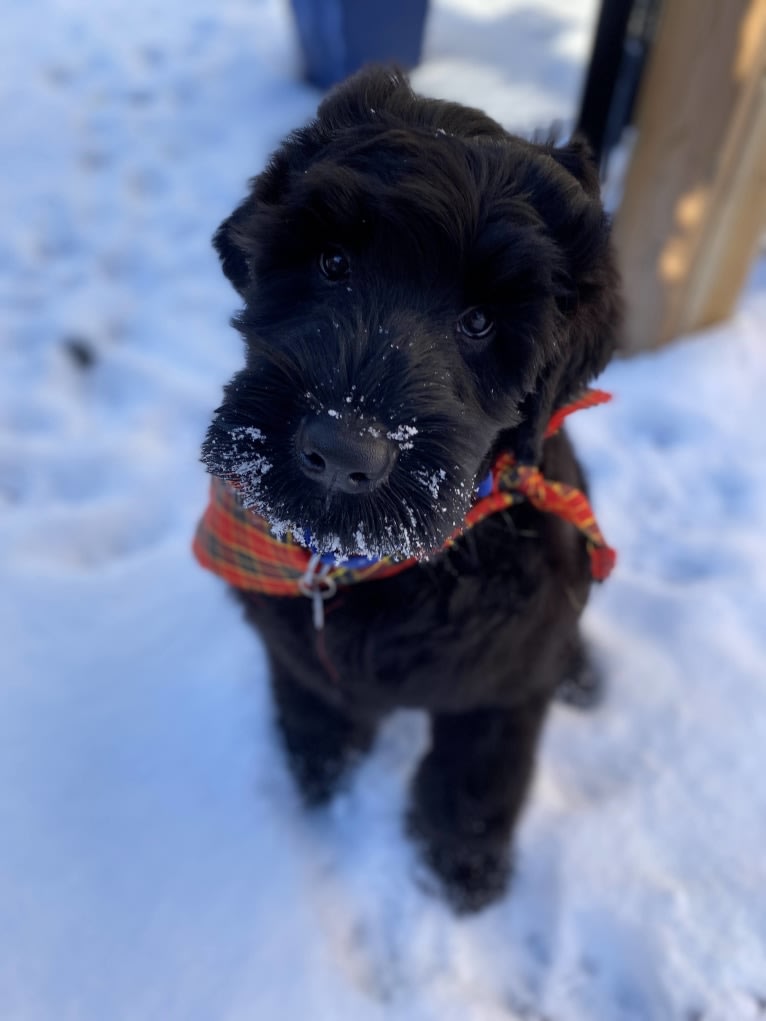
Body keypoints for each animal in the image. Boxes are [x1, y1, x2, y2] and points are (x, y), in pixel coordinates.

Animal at [195, 67, 620, 914]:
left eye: (481, 322)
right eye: (332, 263)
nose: (340, 451)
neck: (359, 568)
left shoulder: (504, 685)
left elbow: (476, 776)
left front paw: (459, 873)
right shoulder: (295, 651)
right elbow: (315, 711)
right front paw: (321, 782)